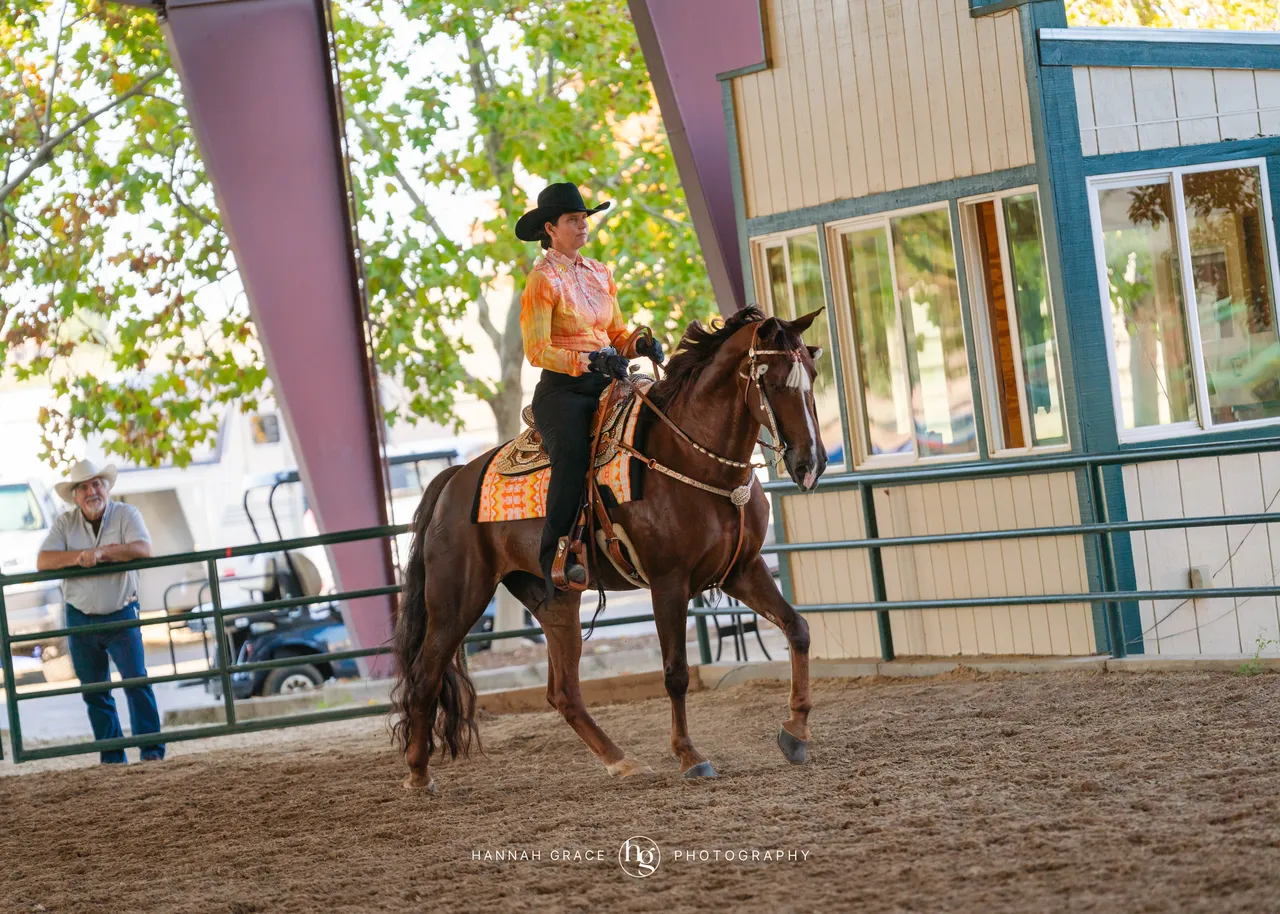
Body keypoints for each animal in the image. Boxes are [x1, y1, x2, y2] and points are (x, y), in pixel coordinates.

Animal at [390, 305, 828, 792]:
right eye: (773, 381)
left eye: (812, 373)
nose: (812, 464)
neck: (689, 457)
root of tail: (454, 479)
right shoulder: (668, 582)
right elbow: (676, 672)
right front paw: (689, 755)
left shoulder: (742, 570)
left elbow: (797, 628)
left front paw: (796, 732)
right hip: (457, 601)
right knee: (425, 677)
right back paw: (417, 775)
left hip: (554, 600)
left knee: (563, 692)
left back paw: (621, 761)